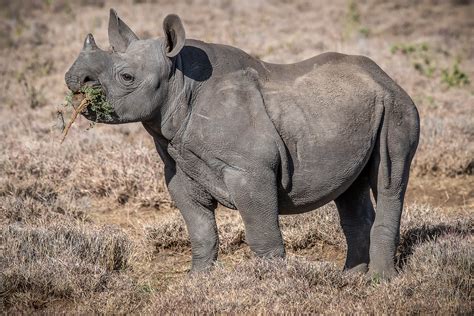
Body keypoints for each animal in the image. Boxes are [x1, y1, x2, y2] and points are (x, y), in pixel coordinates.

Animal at [65, 8, 418, 278]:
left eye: (127, 78)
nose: (73, 79)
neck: (180, 82)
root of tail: (387, 76)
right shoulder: (179, 167)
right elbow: (201, 231)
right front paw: (198, 281)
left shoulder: (250, 171)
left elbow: (262, 233)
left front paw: (272, 282)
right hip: (349, 113)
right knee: (350, 189)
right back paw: (350, 278)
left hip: (397, 106)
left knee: (389, 179)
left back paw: (379, 281)